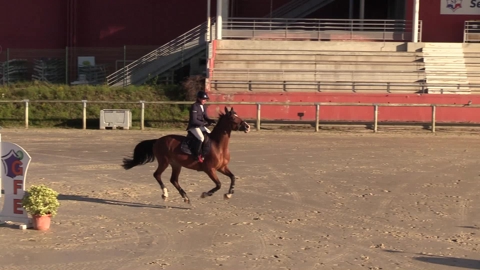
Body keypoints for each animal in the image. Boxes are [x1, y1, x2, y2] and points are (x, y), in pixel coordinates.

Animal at [121, 106, 251, 204]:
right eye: (233, 117)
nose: (247, 126)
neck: (218, 145)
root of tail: (157, 140)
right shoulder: (210, 169)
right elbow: (218, 184)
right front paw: (205, 194)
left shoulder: (222, 167)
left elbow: (233, 177)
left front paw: (228, 195)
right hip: (164, 162)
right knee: (157, 175)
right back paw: (165, 194)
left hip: (176, 164)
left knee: (174, 180)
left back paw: (185, 197)